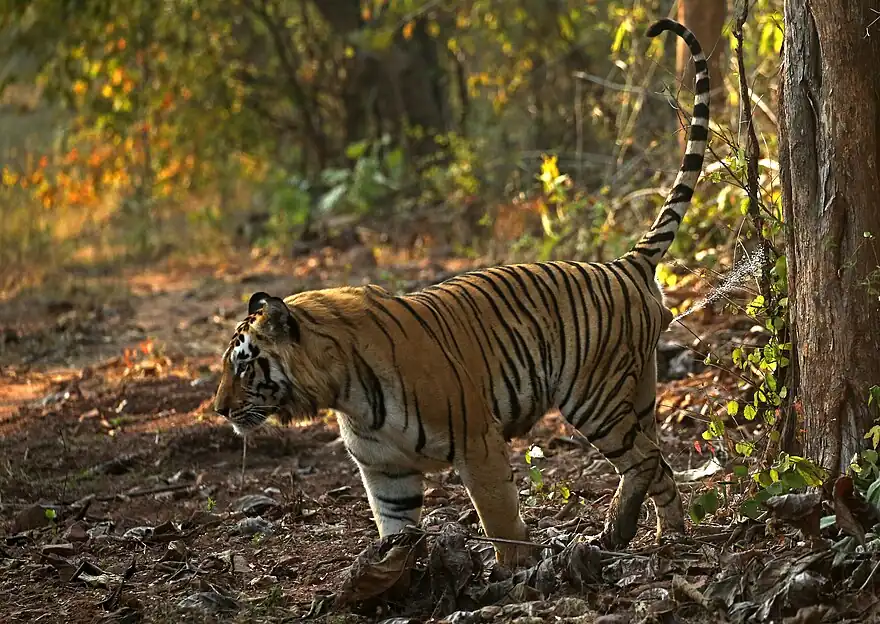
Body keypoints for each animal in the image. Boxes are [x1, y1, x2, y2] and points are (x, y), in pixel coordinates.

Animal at [213, 17, 710, 567]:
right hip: (639, 392)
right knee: (660, 462)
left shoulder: (478, 443)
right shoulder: (386, 472)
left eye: (243, 365)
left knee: (643, 460)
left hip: (593, 397)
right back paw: (667, 536)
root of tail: (624, 263)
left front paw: (516, 571)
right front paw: (390, 574)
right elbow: (394, 527)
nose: (219, 410)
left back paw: (619, 535)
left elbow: (499, 518)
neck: (341, 391)